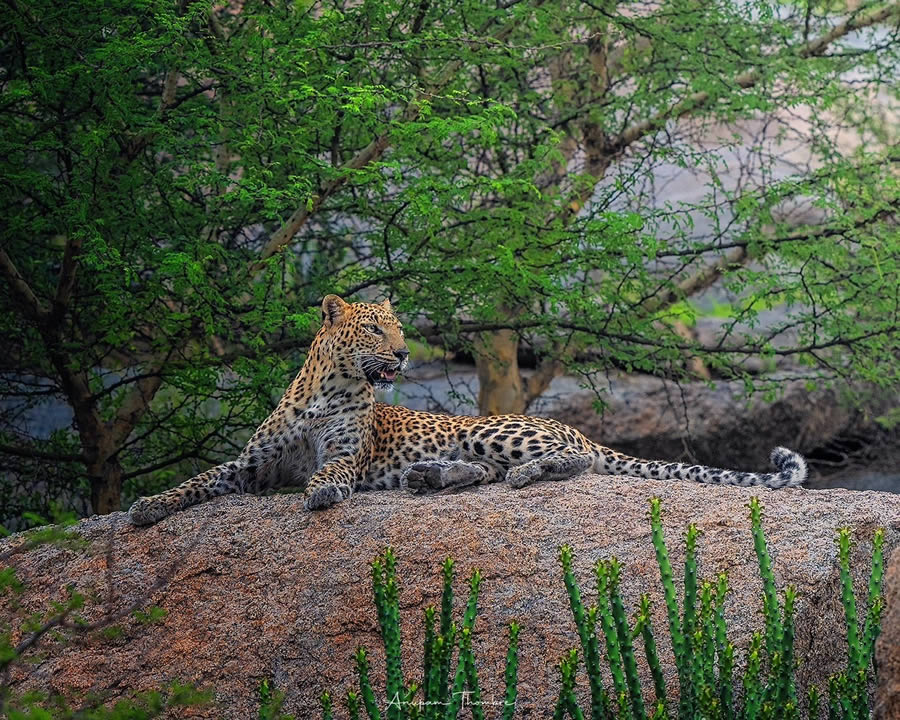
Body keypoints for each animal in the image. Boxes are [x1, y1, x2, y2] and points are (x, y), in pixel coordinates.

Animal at [128, 292, 808, 524]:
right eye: (375, 330)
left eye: (400, 329)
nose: (405, 353)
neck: (326, 388)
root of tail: (564, 422)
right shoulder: (250, 465)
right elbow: (196, 481)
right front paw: (145, 508)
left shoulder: (347, 454)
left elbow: (332, 469)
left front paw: (321, 492)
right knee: (482, 473)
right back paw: (430, 477)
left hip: (499, 432)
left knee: (567, 464)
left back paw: (525, 473)